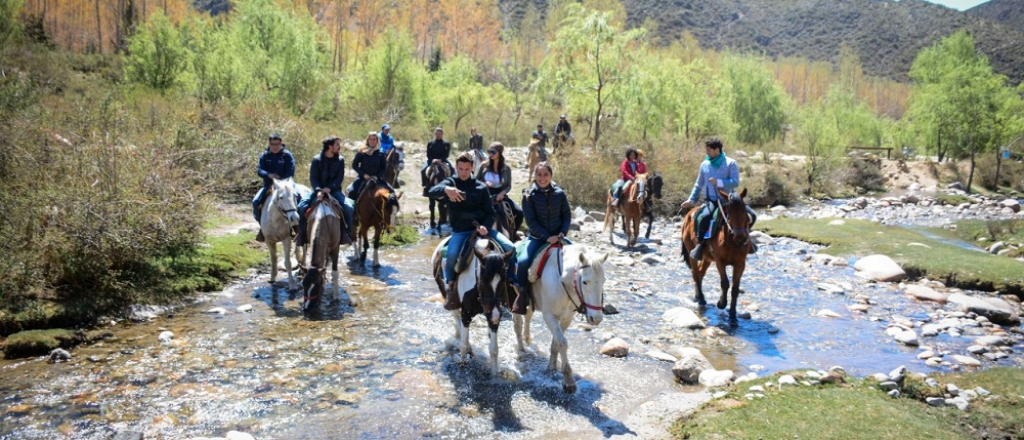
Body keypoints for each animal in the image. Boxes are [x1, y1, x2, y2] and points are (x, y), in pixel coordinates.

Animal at [430, 235, 516, 372]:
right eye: (482, 279)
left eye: (503, 280)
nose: (495, 316)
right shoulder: (466, 313)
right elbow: (464, 345)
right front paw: (463, 364)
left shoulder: (493, 313)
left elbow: (494, 350)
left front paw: (495, 373)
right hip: (447, 297)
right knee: (456, 316)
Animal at [512, 244, 606, 390]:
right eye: (585, 282)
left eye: (603, 281)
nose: (596, 319)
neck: (562, 282)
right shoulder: (549, 316)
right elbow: (562, 342)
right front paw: (568, 379)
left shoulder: (566, 318)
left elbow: (555, 343)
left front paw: (551, 367)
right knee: (518, 324)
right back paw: (522, 349)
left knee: (528, 317)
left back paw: (527, 339)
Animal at [679, 187, 753, 321]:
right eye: (729, 213)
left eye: (745, 211)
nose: (740, 237)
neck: (732, 242)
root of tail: (689, 213)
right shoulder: (720, 262)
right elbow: (725, 283)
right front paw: (721, 303)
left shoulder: (740, 263)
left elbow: (735, 288)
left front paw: (733, 313)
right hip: (692, 252)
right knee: (695, 273)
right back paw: (701, 299)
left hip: (707, 258)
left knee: (700, 273)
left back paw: (698, 296)